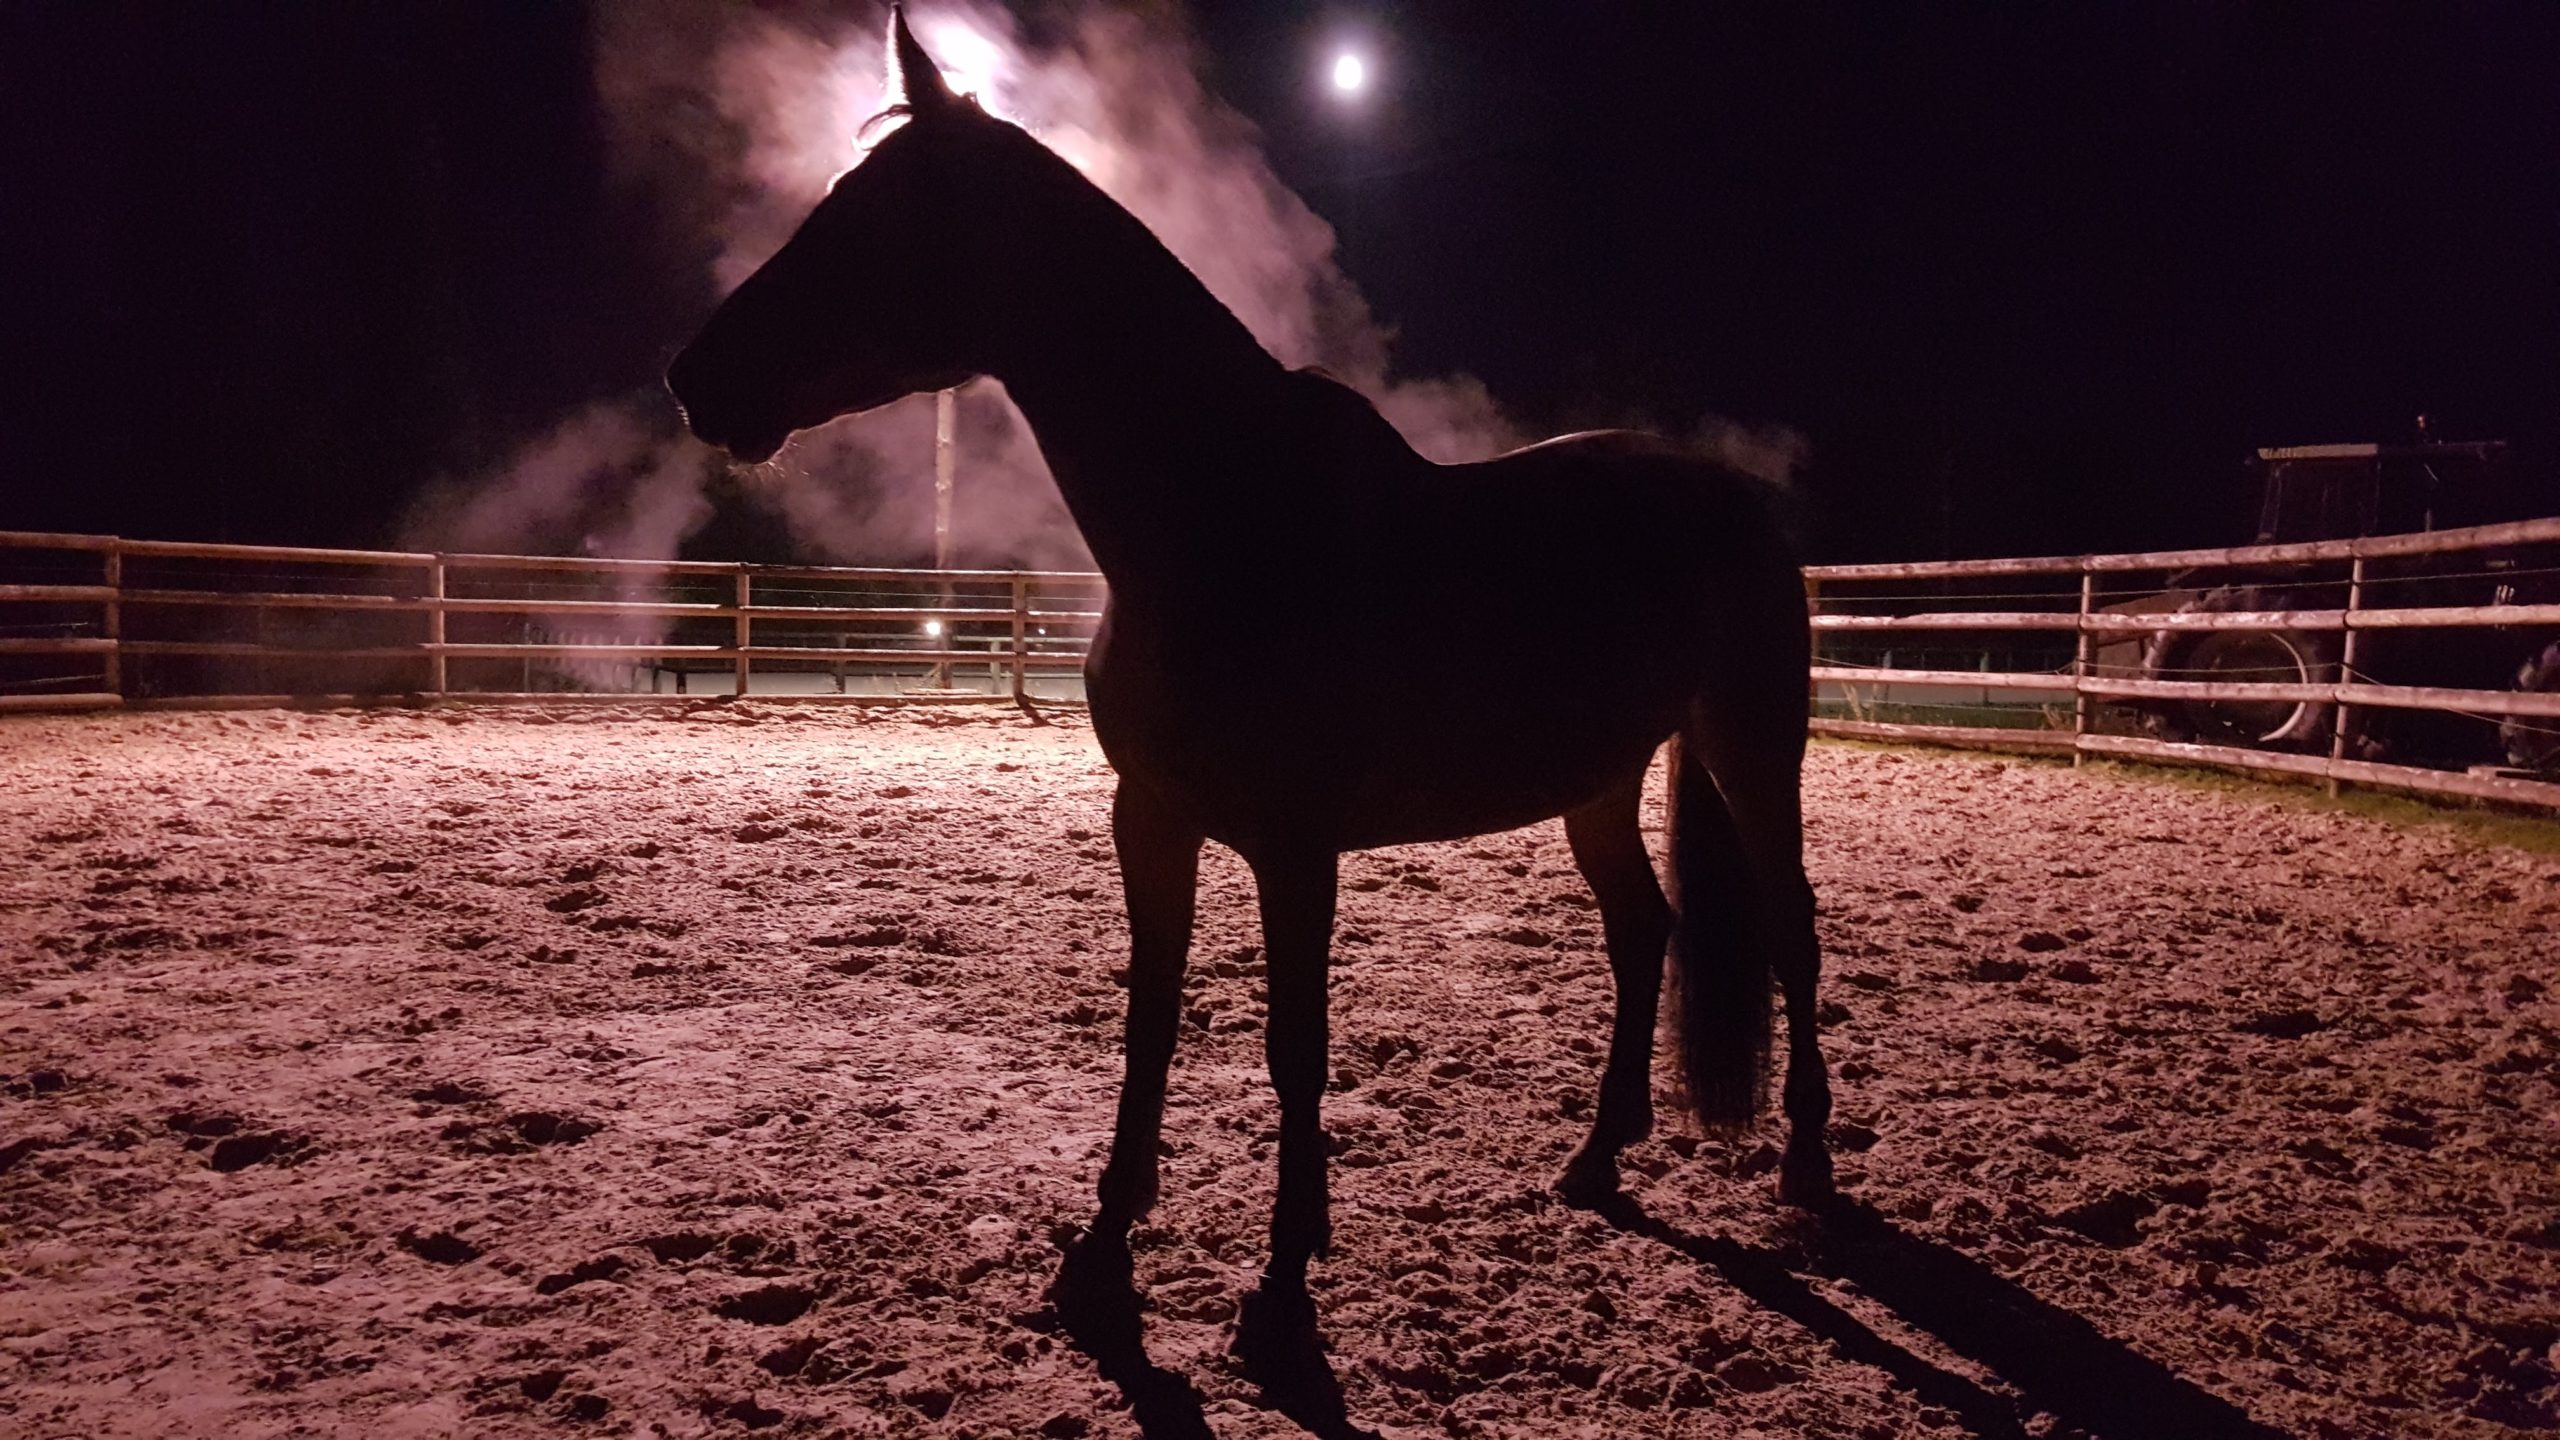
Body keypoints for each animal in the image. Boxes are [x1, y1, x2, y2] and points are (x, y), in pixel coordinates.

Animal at [670, 5, 1832, 1363]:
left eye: (872, 218)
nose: (695, 377)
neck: (1223, 519)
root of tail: (1736, 497)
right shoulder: (1152, 819)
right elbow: (1151, 1023)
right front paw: (1101, 1252)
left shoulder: (1295, 846)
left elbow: (1295, 1047)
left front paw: (1281, 1288)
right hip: (1597, 778)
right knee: (1642, 929)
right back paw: (1597, 1157)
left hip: (1752, 746)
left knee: (1791, 927)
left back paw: (1807, 1171)